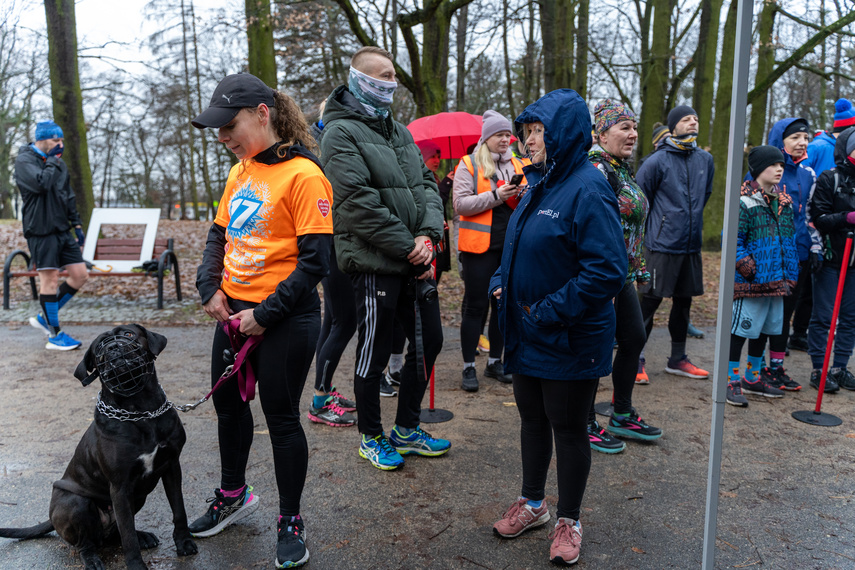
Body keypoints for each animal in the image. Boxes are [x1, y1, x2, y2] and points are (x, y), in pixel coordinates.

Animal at [0, 324, 197, 568]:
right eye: (99, 348)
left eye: (129, 334)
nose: (113, 348)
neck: (141, 410)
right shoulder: (120, 486)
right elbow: (127, 535)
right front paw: (136, 565)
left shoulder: (171, 466)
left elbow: (179, 509)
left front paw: (184, 542)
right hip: (76, 503)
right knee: (88, 542)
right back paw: (92, 559)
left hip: (138, 496)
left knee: (115, 533)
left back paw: (142, 536)